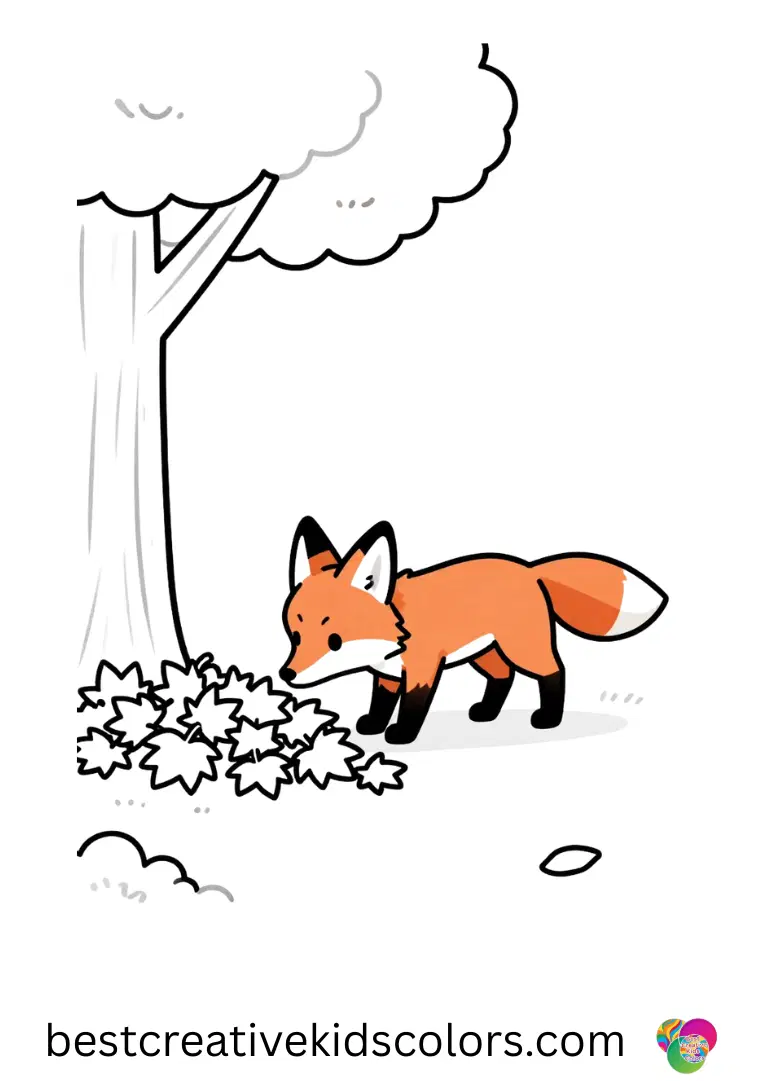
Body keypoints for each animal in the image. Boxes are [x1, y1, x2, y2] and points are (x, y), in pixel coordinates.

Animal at [279, 517, 667, 746]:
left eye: (334, 641)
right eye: (295, 636)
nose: (287, 674)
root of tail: (529, 569)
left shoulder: (422, 668)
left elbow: (412, 706)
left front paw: (402, 734)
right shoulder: (388, 673)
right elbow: (381, 702)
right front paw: (374, 724)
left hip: (521, 647)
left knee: (554, 671)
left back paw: (548, 719)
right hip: (484, 653)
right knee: (504, 677)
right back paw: (486, 712)